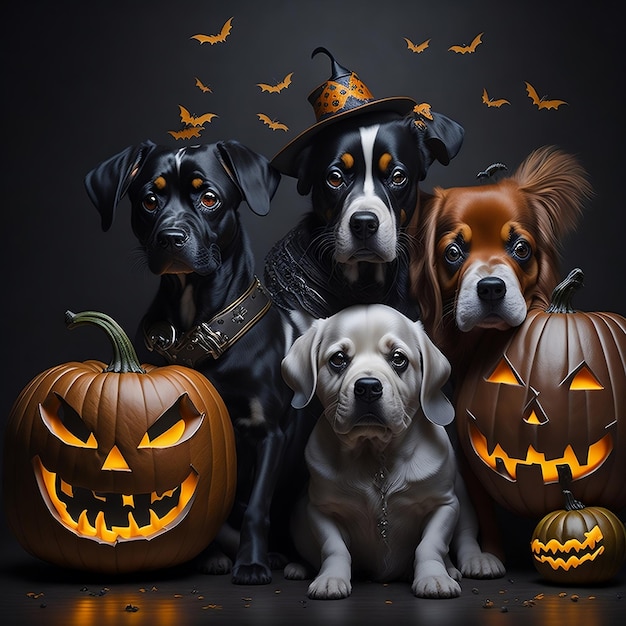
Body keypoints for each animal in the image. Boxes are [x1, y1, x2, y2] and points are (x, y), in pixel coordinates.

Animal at [83, 139, 308, 584]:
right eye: (149, 200)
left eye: (208, 198)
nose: (170, 237)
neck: (200, 330)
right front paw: (210, 557)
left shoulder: (268, 433)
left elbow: (258, 508)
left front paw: (251, 564)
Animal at [282, 304, 502, 596]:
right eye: (338, 359)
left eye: (398, 358)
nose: (367, 388)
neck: (376, 456)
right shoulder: (321, 509)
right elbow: (334, 548)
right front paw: (331, 578)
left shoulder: (444, 504)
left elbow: (430, 545)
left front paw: (434, 577)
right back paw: (299, 567)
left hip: (463, 498)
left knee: (466, 537)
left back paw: (473, 563)